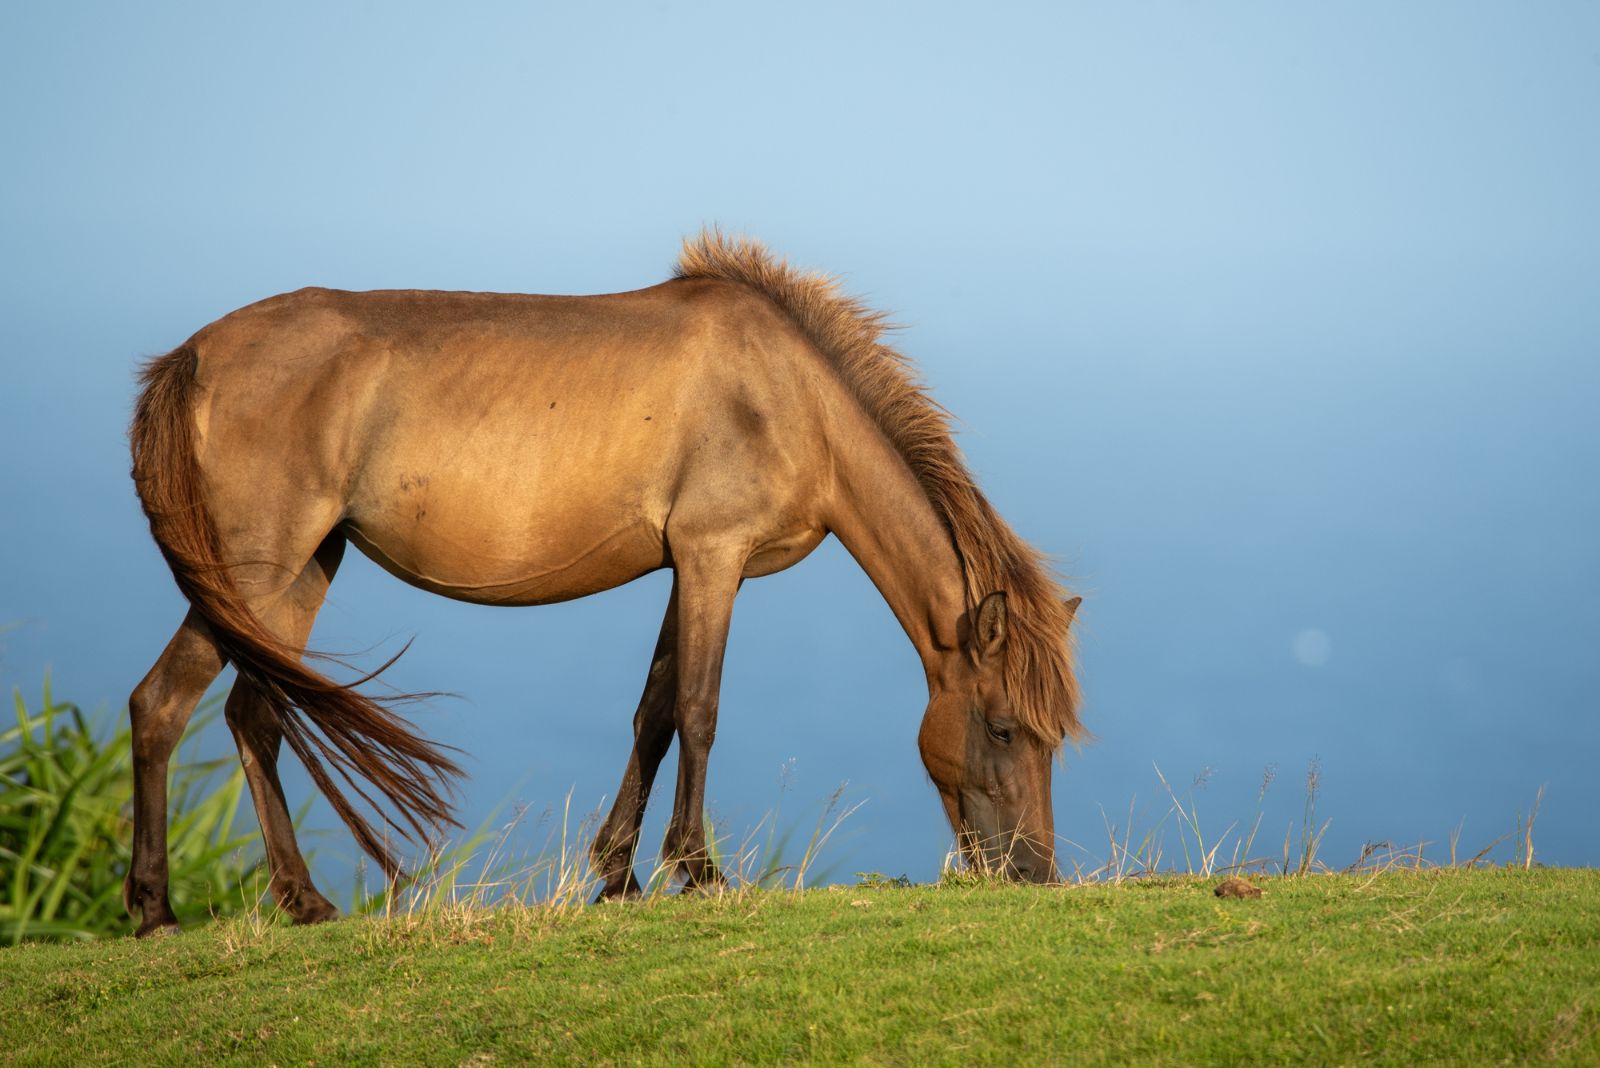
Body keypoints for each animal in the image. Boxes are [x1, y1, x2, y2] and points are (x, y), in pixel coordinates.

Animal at [124, 231, 1081, 933]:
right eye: (1002, 728)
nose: (1035, 872)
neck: (790, 396)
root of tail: (193, 357)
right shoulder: (713, 555)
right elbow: (698, 707)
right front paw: (699, 871)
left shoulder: (687, 568)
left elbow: (653, 712)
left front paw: (618, 874)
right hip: (257, 565)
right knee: (163, 704)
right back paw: (157, 911)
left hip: (304, 567)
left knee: (252, 712)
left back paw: (301, 901)